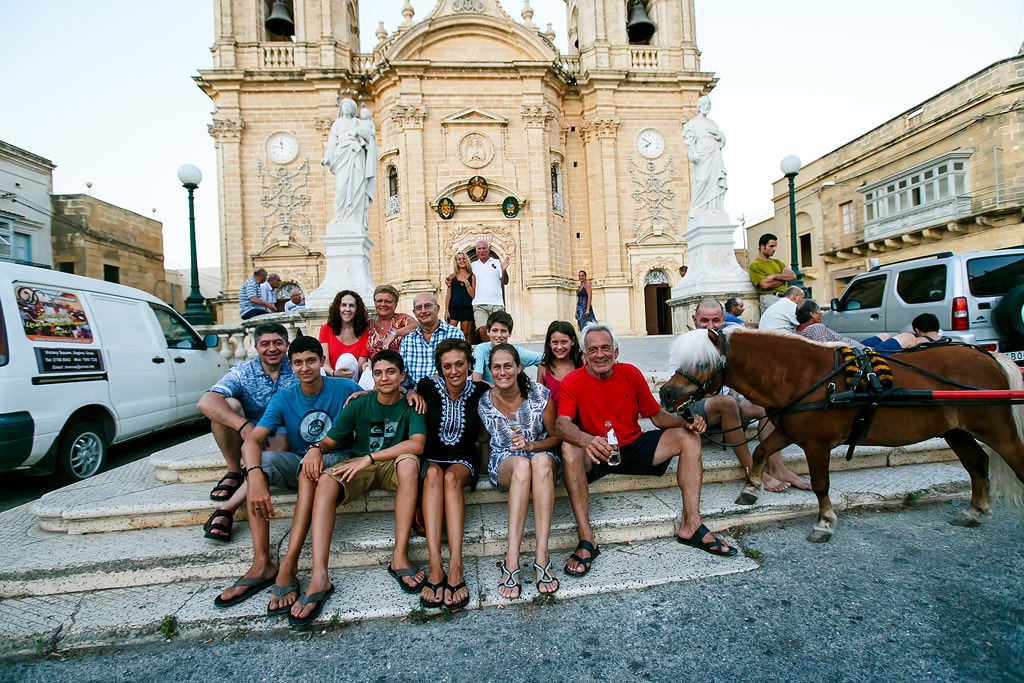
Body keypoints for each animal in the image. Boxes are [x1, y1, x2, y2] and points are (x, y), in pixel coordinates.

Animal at [659, 327, 1024, 540]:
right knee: (976, 463)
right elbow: (761, 451)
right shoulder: (790, 431)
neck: (807, 377)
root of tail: (991, 357)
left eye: (702, 364)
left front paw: (824, 521)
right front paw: (751, 490)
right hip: (955, 430)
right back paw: (974, 511)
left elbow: (821, 483)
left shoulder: (816, 443)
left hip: (996, 428)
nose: (665, 392)